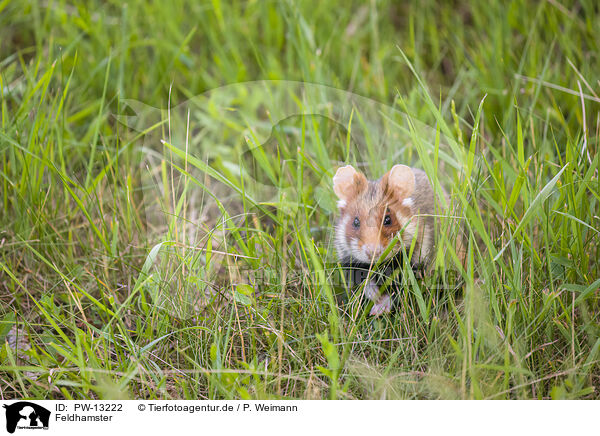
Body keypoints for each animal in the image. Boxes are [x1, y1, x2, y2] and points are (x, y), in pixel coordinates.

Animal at [330, 165, 442, 316]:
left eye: (388, 219)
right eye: (355, 222)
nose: (373, 253)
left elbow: (397, 290)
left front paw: (380, 308)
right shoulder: (350, 263)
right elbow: (365, 283)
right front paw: (375, 297)